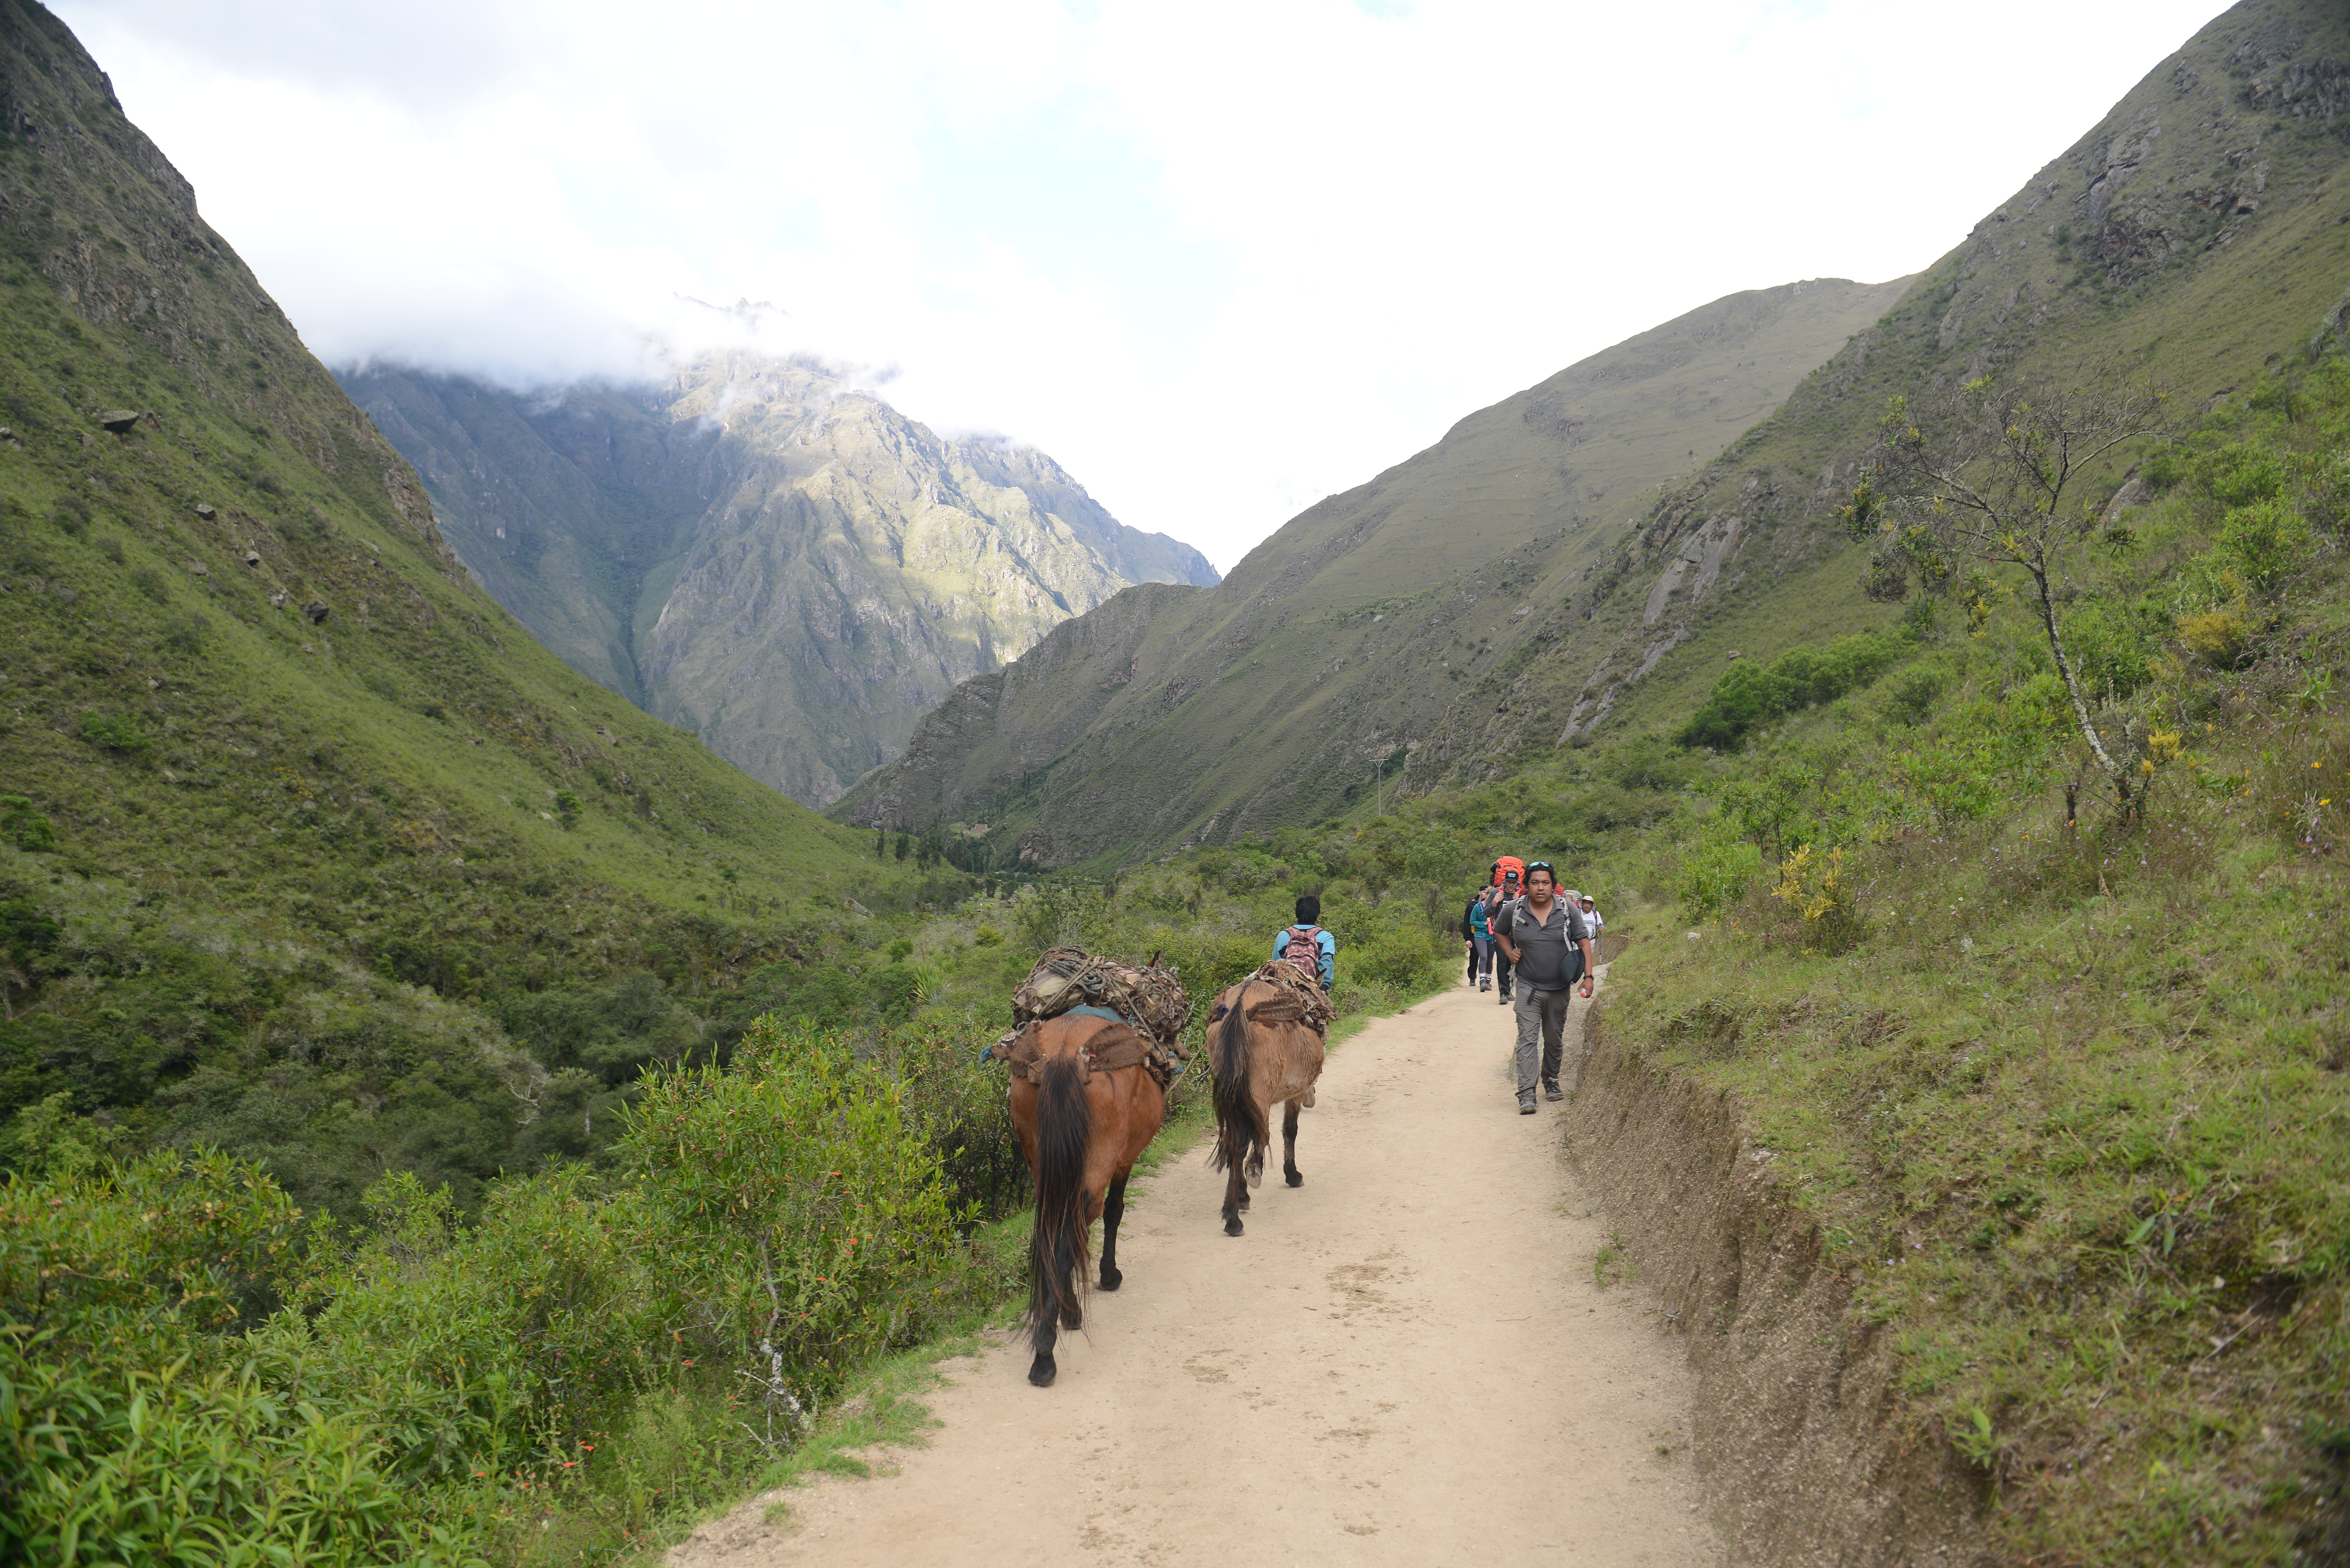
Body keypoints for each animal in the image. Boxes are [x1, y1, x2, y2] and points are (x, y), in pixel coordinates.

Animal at [1006, 1011, 1170, 1382]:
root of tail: (1062, 1058)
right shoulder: (1125, 1158)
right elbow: (1115, 1211)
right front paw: (1109, 1275)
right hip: (1100, 1158)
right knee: (1075, 1227)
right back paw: (1046, 1351)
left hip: (1041, 1160)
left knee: (1052, 1229)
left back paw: (1063, 1315)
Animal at [1212, 983, 1325, 1241]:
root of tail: (1240, 1007)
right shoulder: (1294, 1092)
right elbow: (1289, 1130)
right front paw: (1291, 1174)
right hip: (1258, 1093)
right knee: (1242, 1146)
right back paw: (1234, 1218)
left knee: (1235, 1143)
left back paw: (1240, 1198)